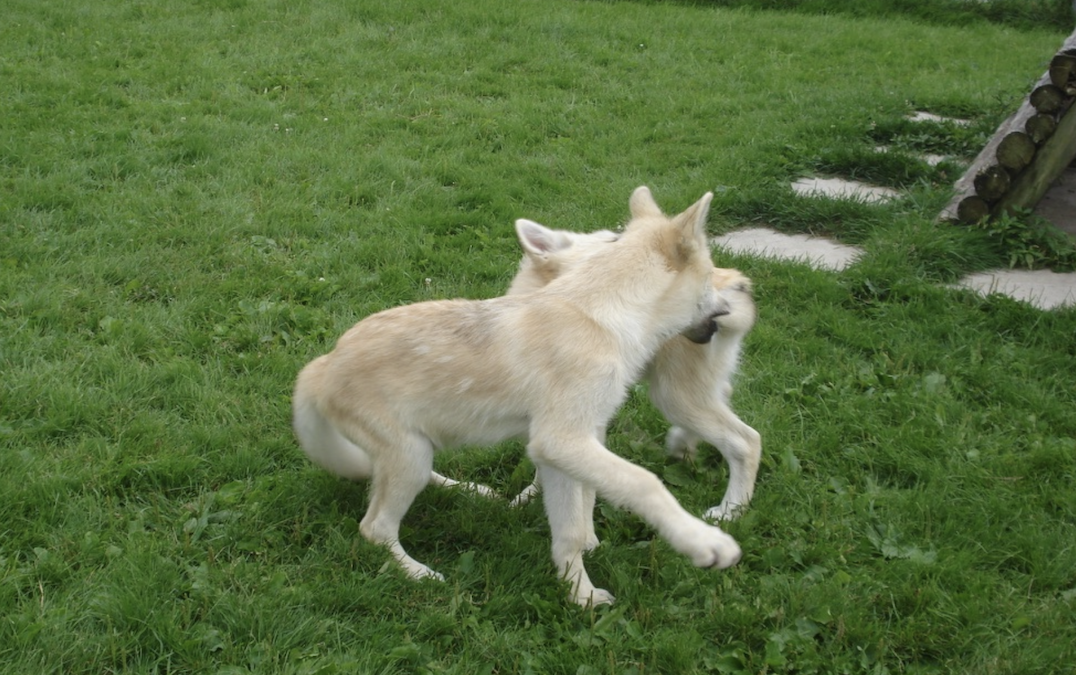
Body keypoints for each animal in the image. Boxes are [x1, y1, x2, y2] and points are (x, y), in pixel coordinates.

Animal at [292, 187, 742, 606]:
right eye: (709, 277)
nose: (731, 305)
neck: (603, 316)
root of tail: (322, 365)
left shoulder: (566, 449)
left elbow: (571, 529)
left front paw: (581, 596)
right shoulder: (559, 440)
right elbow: (644, 483)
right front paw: (705, 543)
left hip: (416, 451)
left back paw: (470, 491)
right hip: (408, 456)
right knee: (375, 528)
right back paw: (420, 574)